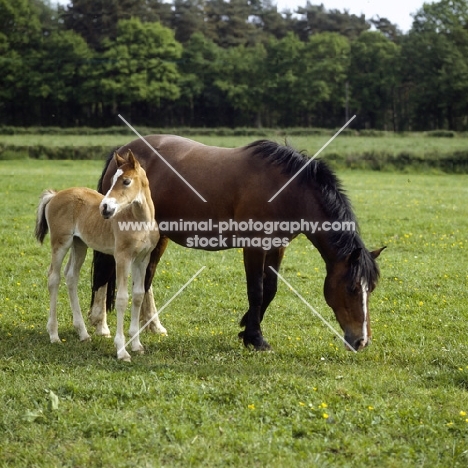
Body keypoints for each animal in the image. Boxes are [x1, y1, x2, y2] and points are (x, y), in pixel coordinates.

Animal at [33, 151, 161, 362]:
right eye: (112, 180)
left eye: (126, 181)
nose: (105, 208)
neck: (139, 221)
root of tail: (55, 195)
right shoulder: (122, 257)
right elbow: (122, 299)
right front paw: (122, 350)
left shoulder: (142, 259)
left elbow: (137, 296)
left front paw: (137, 345)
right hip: (61, 243)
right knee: (53, 277)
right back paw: (54, 335)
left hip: (79, 244)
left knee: (71, 277)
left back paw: (83, 333)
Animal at [88, 137, 384, 352]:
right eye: (352, 288)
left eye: (371, 289)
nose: (361, 341)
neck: (286, 189)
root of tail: (122, 152)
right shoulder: (253, 246)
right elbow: (256, 290)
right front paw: (255, 337)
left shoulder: (277, 247)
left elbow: (270, 289)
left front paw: (246, 327)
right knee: (104, 271)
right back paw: (100, 324)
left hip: (158, 236)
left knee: (147, 277)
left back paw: (153, 326)